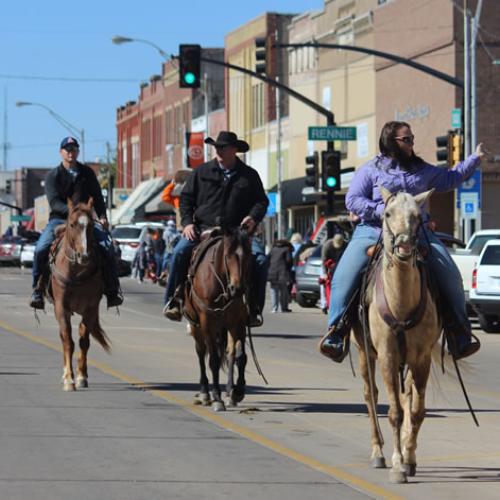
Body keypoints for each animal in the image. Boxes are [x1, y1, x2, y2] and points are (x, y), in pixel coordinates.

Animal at [48, 198, 110, 390]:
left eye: (90, 225)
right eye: (72, 224)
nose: (84, 255)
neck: (76, 272)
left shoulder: (90, 308)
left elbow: (84, 342)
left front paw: (81, 376)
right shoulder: (61, 308)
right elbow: (68, 341)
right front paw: (69, 379)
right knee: (63, 337)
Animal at [184, 229, 252, 412]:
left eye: (249, 255)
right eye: (227, 256)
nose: (237, 289)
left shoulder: (238, 323)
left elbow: (241, 356)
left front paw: (238, 391)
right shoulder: (207, 324)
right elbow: (213, 360)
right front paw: (216, 398)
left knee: (230, 352)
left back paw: (229, 393)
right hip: (197, 327)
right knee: (201, 353)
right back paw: (205, 392)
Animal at [352, 186, 442, 482]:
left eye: (418, 216)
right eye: (388, 213)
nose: (403, 245)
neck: (400, 301)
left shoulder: (421, 357)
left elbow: (415, 411)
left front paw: (409, 458)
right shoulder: (387, 357)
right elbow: (394, 412)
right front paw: (396, 464)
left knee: (407, 398)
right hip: (364, 352)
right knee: (371, 396)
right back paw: (378, 452)